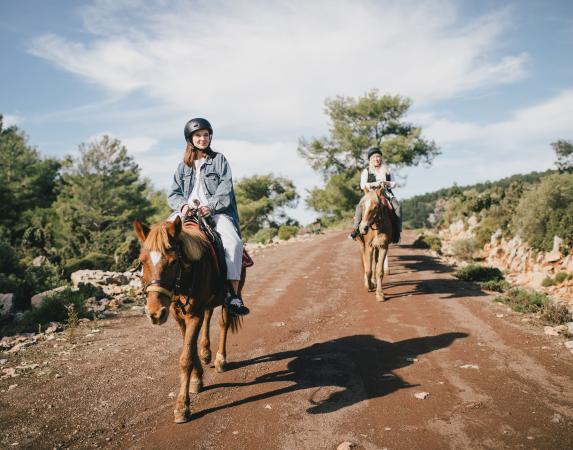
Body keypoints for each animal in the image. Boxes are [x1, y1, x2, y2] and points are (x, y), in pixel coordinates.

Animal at [134, 216, 244, 424]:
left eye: (173, 261)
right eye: (142, 262)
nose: (155, 313)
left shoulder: (193, 315)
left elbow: (185, 357)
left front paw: (182, 407)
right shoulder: (179, 316)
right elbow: (190, 348)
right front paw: (197, 378)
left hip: (229, 298)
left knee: (224, 323)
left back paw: (220, 359)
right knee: (208, 316)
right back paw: (206, 351)